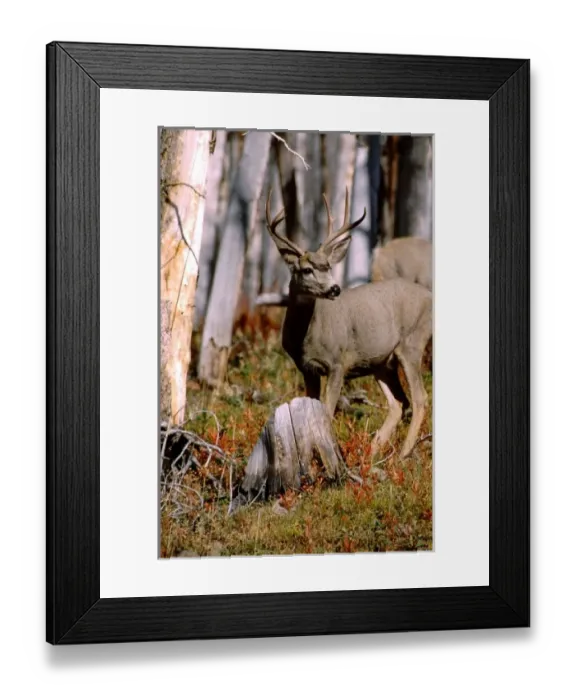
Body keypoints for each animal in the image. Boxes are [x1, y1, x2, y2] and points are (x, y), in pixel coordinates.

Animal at [265, 187, 433, 460]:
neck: (306, 337)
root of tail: (430, 296)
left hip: (412, 343)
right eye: (307, 269)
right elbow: (313, 410)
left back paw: (402, 454)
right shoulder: (307, 368)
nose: (335, 288)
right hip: (381, 363)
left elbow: (327, 411)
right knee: (398, 403)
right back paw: (373, 452)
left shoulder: (337, 363)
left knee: (419, 398)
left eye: (328, 266)